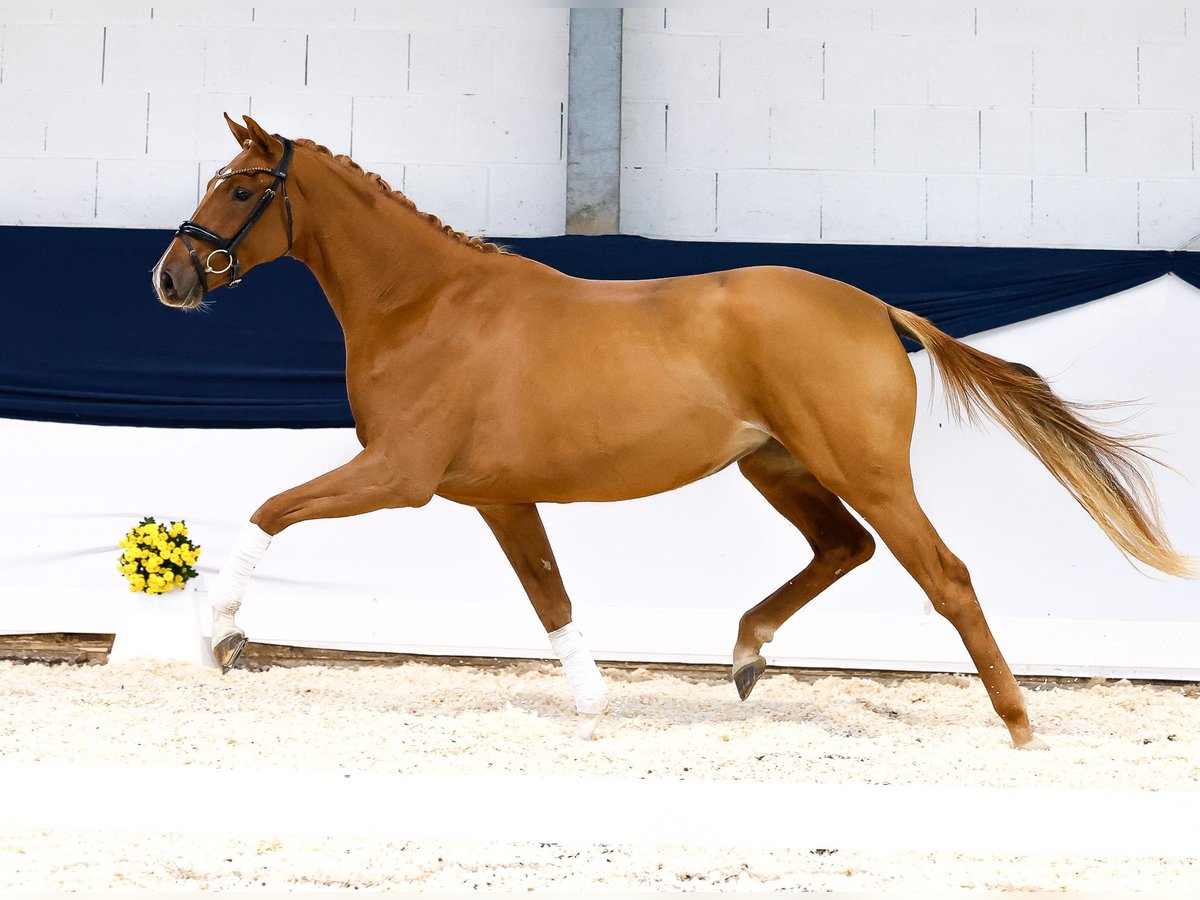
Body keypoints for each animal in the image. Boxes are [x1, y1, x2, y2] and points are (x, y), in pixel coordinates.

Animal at [152, 118, 1190, 748]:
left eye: (241, 189)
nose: (171, 279)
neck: (427, 304)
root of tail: (874, 309)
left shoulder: (398, 474)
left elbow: (271, 507)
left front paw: (222, 626)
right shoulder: (498, 497)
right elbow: (550, 597)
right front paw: (594, 703)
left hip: (861, 468)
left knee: (945, 575)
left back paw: (1017, 724)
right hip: (777, 467)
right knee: (842, 548)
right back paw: (746, 656)